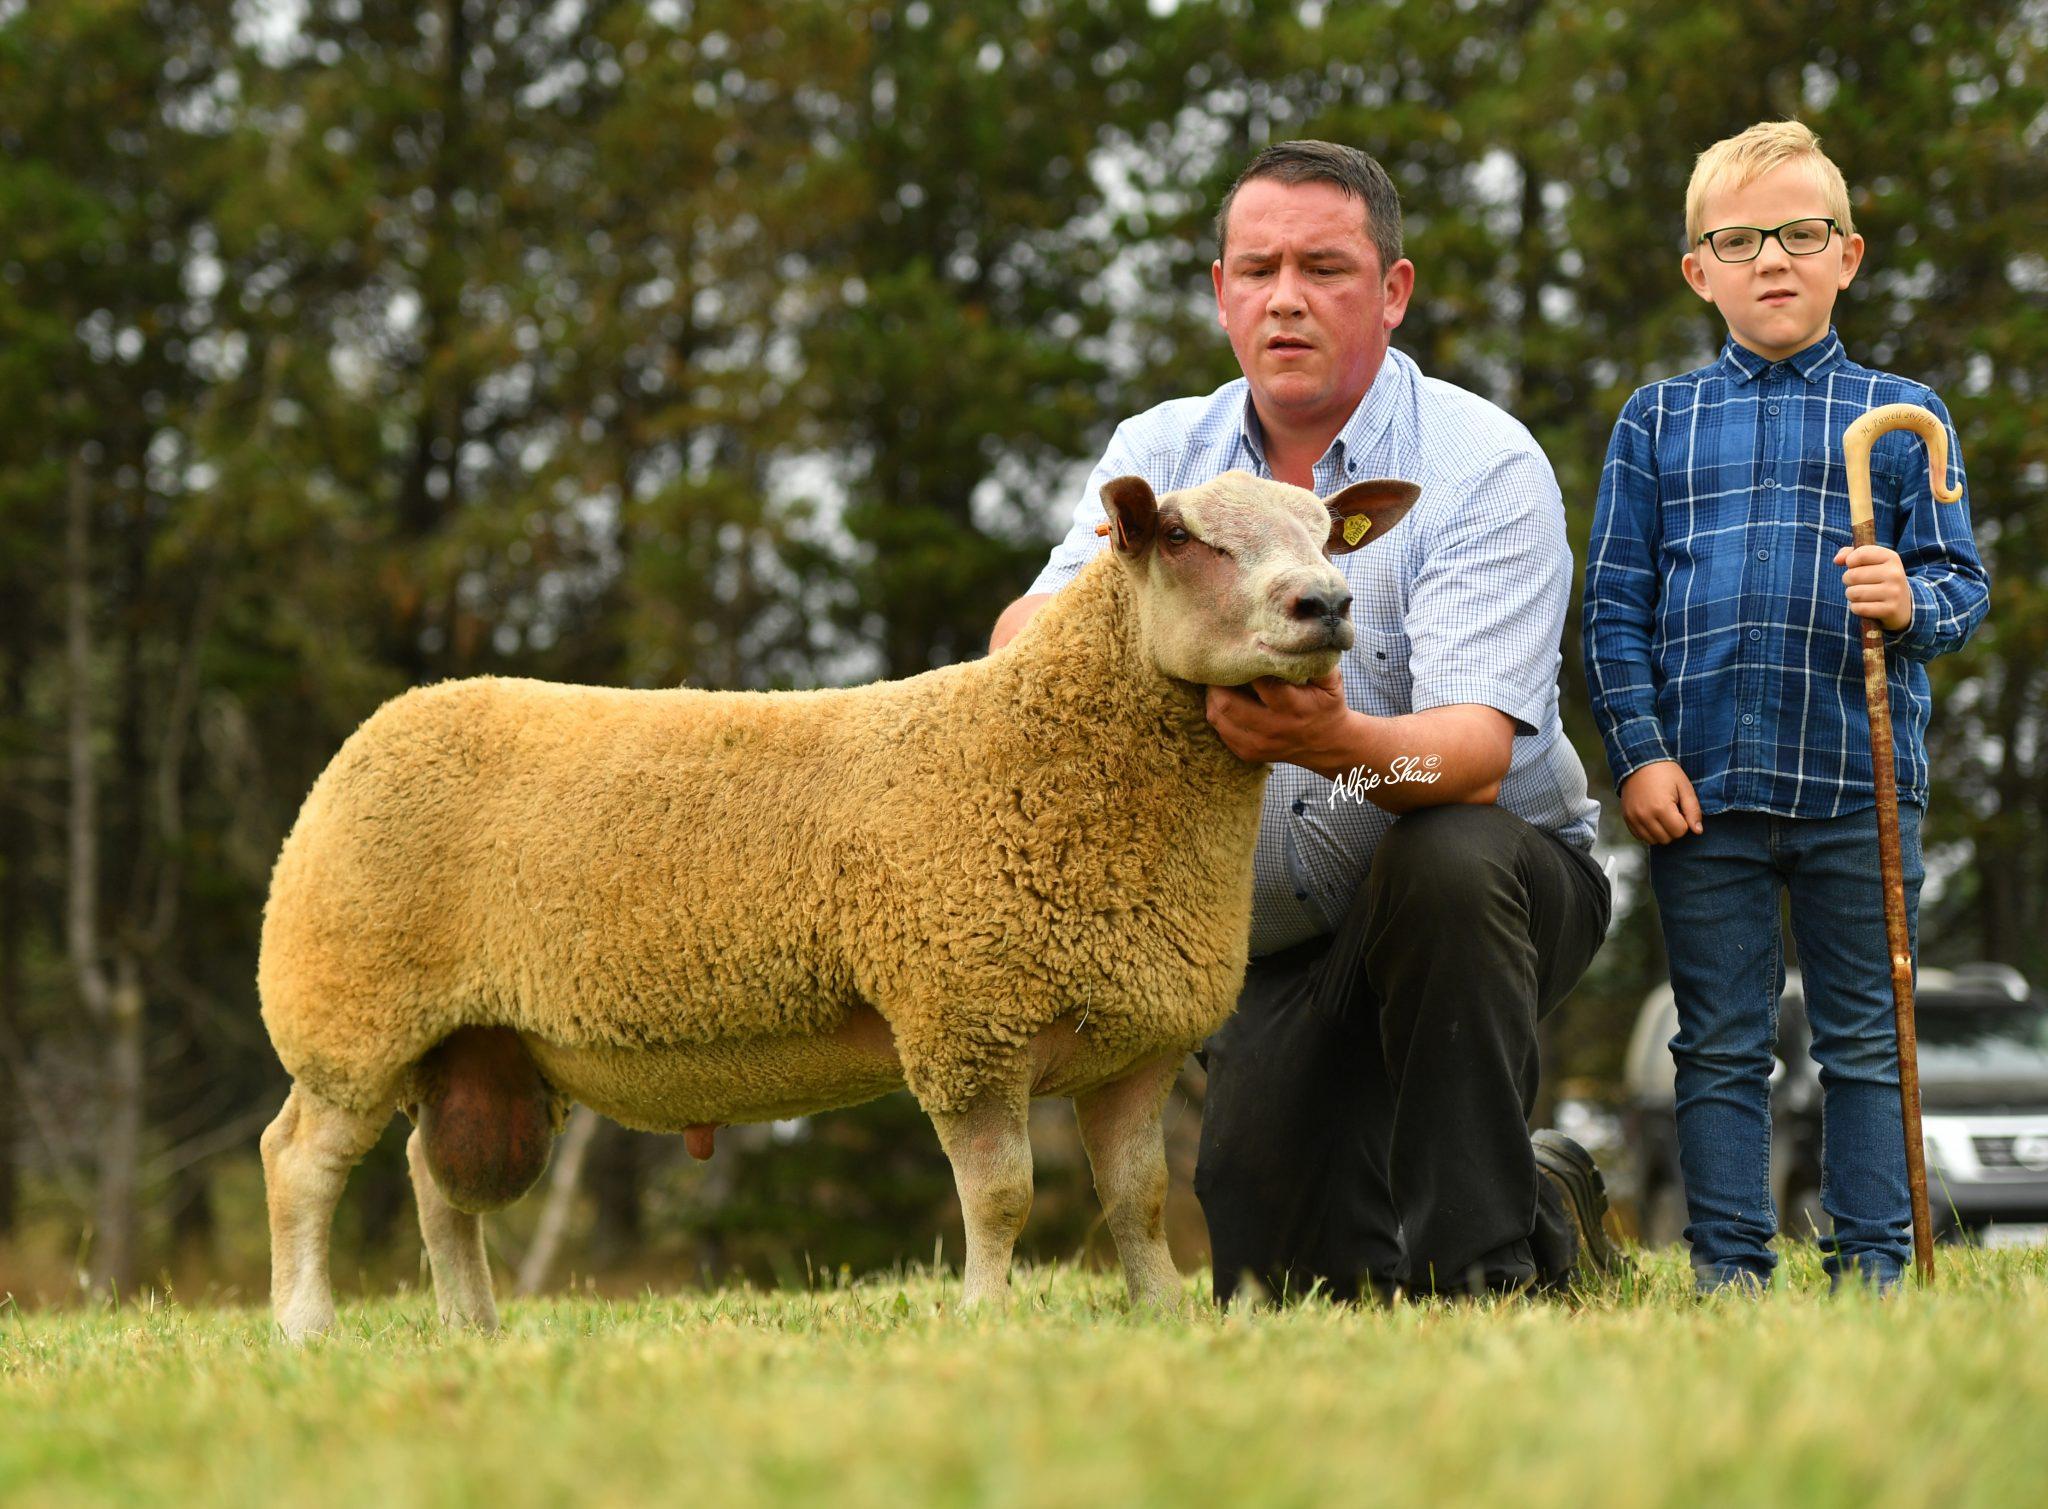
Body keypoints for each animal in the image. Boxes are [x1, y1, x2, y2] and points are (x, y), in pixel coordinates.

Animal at [256, 464, 1417, 1334]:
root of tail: (388, 722)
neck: (1043, 752)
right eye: (1181, 536)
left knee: (432, 1181)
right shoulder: (966, 1021)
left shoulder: (1136, 1042)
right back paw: (306, 1329)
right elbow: (1001, 1196)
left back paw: (474, 1330)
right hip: (350, 1011)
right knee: (300, 1162)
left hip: (476, 1044)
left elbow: (1137, 1199)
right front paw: (984, 1319)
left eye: (1328, 534)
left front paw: (1164, 1316)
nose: (1325, 605)